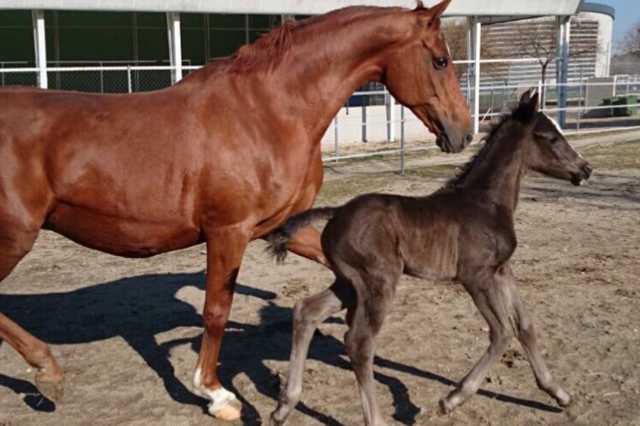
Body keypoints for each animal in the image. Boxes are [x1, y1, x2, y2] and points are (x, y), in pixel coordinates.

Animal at [0, 0, 471, 420]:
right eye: (441, 59)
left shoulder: (275, 227)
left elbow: (330, 263)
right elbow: (216, 312)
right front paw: (215, 394)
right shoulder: (229, 232)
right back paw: (47, 371)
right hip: (14, 239)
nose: (464, 131)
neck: (265, 112)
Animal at [266, 90, 593, 426]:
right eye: (552, 138)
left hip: (348, 283)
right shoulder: (476, 276)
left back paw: (284, 406)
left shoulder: (501, 270)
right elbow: (503, 331)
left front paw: (559, 393)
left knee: (306, 312)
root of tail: (337, 211)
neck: (486, 203)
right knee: (359, 343)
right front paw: (453, 398)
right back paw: (374, 418)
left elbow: (525, 325)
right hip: (379, 281)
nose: (585, 169)